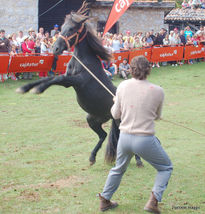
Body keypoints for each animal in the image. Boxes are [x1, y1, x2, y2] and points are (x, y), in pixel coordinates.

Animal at [16, 3, 143, 166]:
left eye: (71, 29)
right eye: (62, 27)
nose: (55, 48)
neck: (82, 61)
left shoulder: (75, 81)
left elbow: (56, 79)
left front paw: (38, 89)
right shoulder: (68, 78)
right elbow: (49, 78)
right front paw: (25, 88)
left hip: (118, 122)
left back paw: (138, 160)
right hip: (93, 119)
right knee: (104, 135)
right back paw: (92, 157)